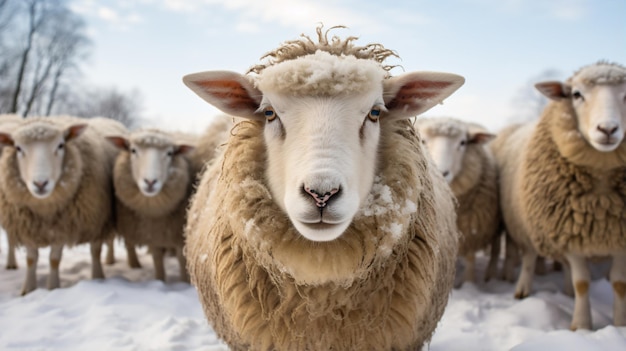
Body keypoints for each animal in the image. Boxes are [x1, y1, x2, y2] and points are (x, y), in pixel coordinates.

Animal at [0, 115, 125, 294]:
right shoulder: (27, 225)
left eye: (60, 145)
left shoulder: (64, 224)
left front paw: (53, 288)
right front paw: (28, 290)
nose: (40, 183)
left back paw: (99, 275)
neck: (45, 209)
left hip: (98, 218)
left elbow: (54, 259)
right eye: (18, 148)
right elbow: (31, 259)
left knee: (97, 249)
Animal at [106, 129, 195, 284]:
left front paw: (184, 282)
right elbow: (157, 260)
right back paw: (114, 262)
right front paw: (160, 281)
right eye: (133, 150)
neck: (154, 213)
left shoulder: (178, 233)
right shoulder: (153, 232)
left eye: (170, 153)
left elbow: (182, 261)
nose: (150, 182)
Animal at [416, 118, 500, 286]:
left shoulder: (472, 229)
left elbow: (470, 257)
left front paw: (469, 282)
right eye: (423, 140)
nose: (442, 172)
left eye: (463, 142)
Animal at [490, 61, 624, 332]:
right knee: (529, 258)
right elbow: (582, 281)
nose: (608, 129)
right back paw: (523, 289)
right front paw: (581, 325)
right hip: (525, 226)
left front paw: (620, 324)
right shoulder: (567, 233)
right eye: (576, 94)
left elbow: (618, 283)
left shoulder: (618, 237)